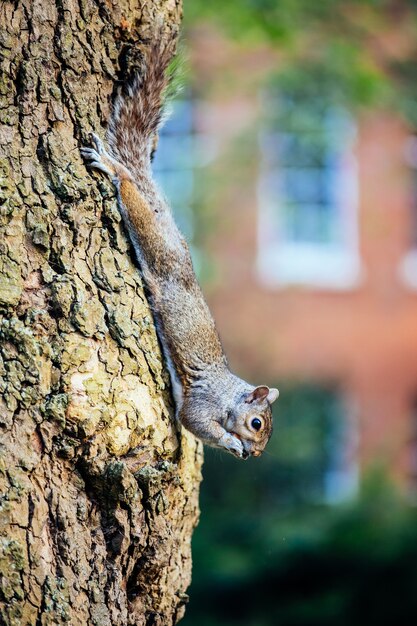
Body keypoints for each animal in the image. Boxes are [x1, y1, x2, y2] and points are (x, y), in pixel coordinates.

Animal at [79, 39, 278, 458]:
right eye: (256, 423)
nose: (253, 454)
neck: (228, 395)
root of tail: (168, 226)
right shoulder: (201, 403)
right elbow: (194, 421)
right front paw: (229, 441)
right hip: (155, 243)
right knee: (130, 192)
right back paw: (113, 167)